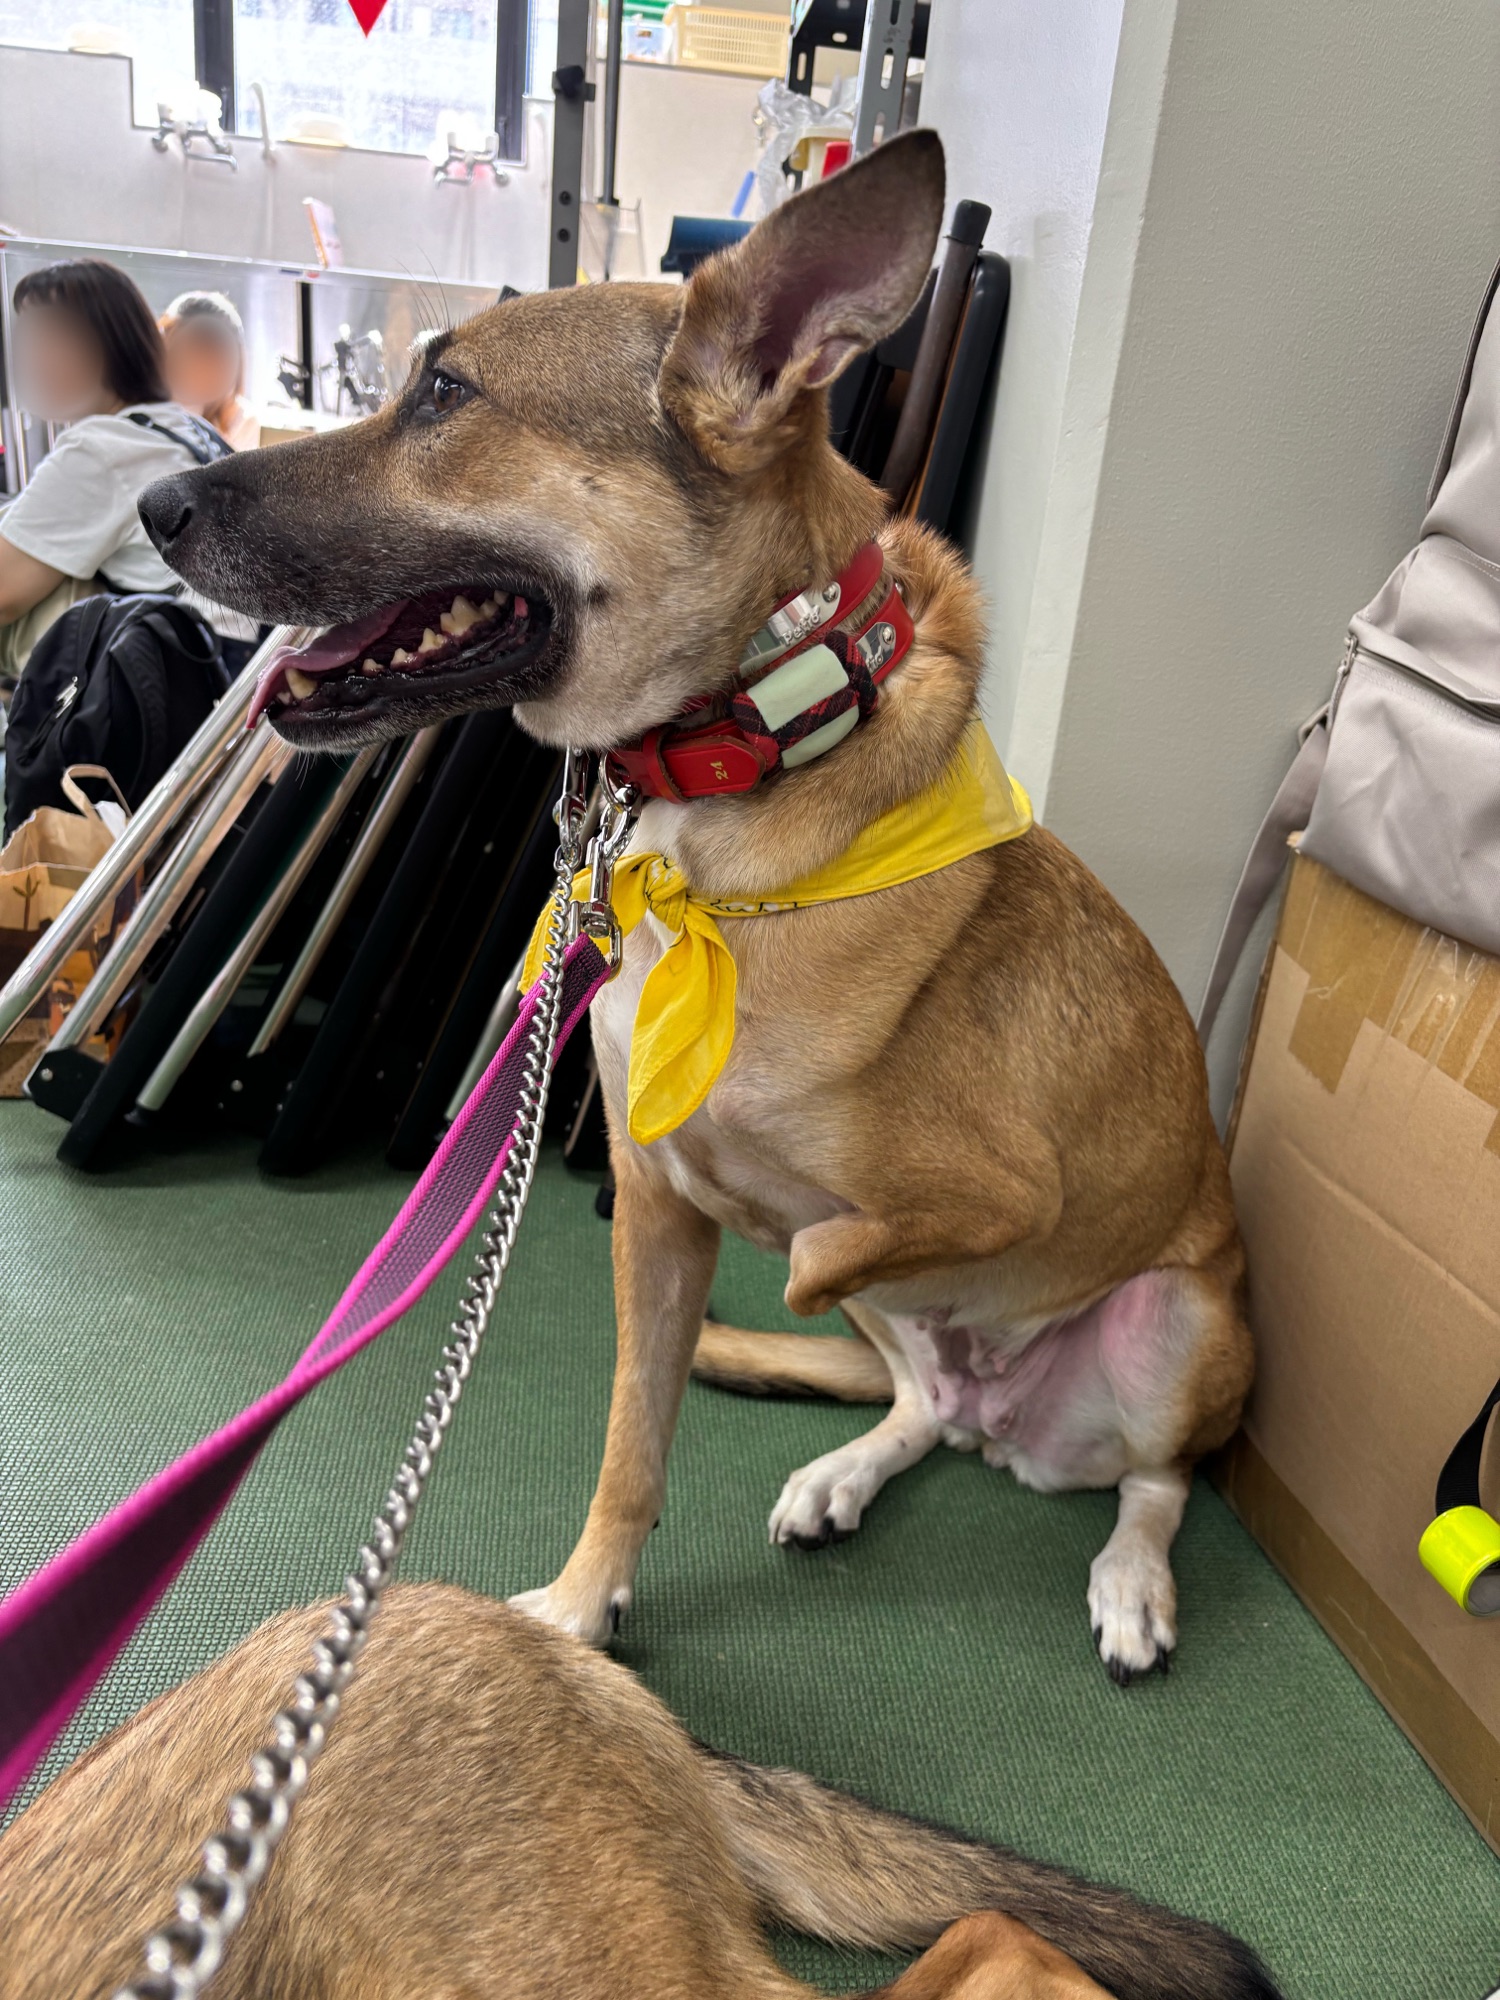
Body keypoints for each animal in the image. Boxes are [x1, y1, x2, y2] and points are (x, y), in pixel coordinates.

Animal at [139, 129, 1253, 1684]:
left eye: (445, 393)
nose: (156, 505)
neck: (739, 762)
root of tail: (1014, 1430)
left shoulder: (982, 1192)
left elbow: (823, 1242)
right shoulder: (654, 1211)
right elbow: (633, 1438)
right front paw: (582, 1603)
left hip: (1180, 1322)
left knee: (1159, 1477)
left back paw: (1132, 1583)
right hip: (942, 1348)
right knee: (920, 1407)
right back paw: (842, 1473)